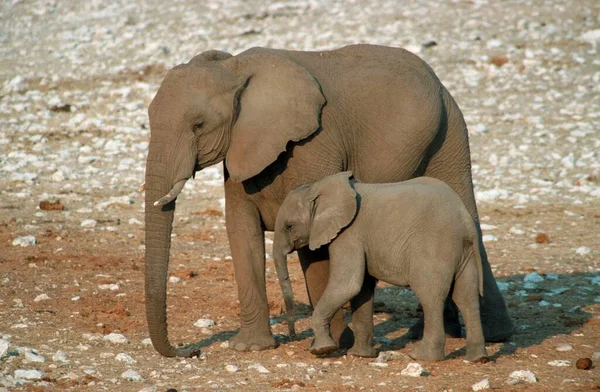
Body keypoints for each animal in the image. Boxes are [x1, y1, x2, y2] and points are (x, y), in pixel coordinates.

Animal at [272, 172, 488, 362]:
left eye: (289, 226)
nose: (292, 336)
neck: (319, 186)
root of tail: (466, 222)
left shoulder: (348, 234)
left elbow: (347, 285)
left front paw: (322, 350)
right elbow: (362, 289)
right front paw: (359, 355)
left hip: (434, 247)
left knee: (431, 296)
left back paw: (423, 357)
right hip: (464, 252)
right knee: (466, 297)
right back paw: (477, 358)